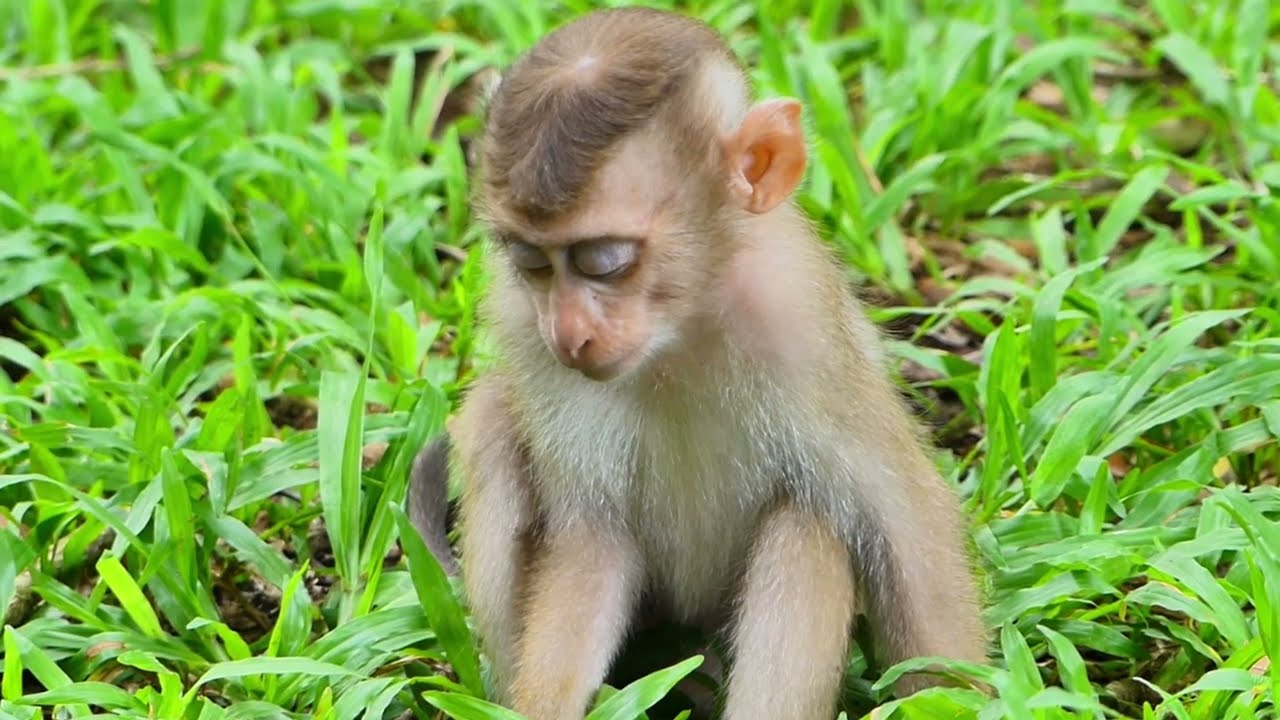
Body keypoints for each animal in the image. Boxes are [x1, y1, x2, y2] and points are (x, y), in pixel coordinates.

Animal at [405, 7, 987, 719]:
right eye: (533, 263)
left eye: (606, 261)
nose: (570, 335)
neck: (680, 329)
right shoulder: (524, 327)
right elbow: (591, 536)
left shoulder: (802, 320)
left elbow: (902, 513)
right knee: (492, 420)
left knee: (811, 516)